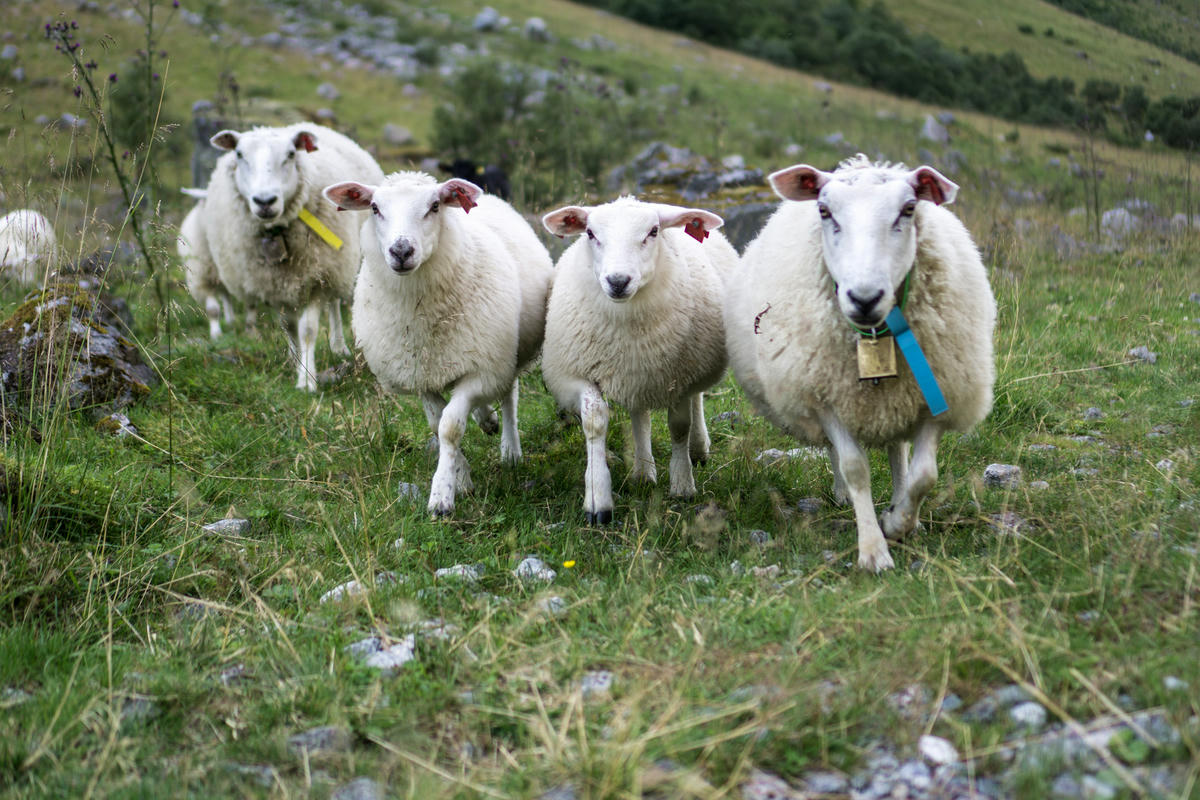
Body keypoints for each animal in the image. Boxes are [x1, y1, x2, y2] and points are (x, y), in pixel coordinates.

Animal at [192, 121, 381, 391]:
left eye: (291, 154)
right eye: (239, 154)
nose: (265, 201)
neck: (276, 231)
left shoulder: (318, 277)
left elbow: (308, 330)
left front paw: (307, 380)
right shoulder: (272, 286)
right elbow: (288, 327)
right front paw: (295, 361)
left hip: (338, 263)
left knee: (334, 304)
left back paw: (338, 346)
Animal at [324, 172, 556, 515]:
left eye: (434, 206)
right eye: (375, 208)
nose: (401, 251)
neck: (421, 317)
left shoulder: (479, 370)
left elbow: (450, 427)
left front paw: (442, 496)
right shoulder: (420, 373)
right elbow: (437, 423)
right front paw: (461, 478)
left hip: (504, 352)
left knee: (508, 395)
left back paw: (510, 449)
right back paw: (486, 419)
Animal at [542, 197, 734, 525]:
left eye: (653, 231)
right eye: (590, 233)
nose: (618, 281)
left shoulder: (680, 376)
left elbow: (679, 426)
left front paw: (682, 485)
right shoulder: (579, 372)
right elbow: (594, 422)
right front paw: (598, 501)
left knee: (697, 399)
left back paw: (698, 449)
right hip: (635, 374)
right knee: (639, 414)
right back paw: (643, 472)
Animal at [724, 154, 998, 568]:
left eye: (909, 209)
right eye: (824, 211)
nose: (864, 298)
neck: (874, 333)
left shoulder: (937, 395)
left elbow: (924, 474)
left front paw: (898, 522)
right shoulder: (825, 399)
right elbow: (854, 467)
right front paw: (873, 549)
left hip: (900, 398)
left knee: (898, 452)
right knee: (841, 455)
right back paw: (843, 496)